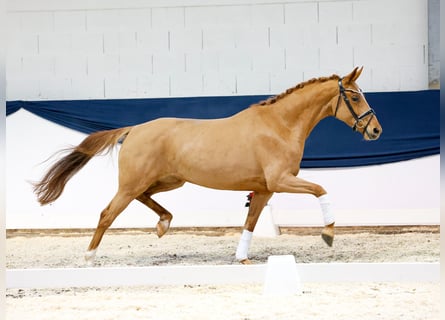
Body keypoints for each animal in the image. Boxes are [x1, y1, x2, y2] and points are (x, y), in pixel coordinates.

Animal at [34, 66, 382, 264]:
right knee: (108, 213)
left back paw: (163, 224)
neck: (279, 126)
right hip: (134, 183)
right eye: (354, 96)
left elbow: (251, 223)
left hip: (169, 180)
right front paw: (328, 233)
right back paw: (90, 256)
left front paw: (242, 258)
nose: (376, 130)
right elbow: (321, 189)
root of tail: (134, 129)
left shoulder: (264, 190)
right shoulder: (280, 181)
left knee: (145, 198)